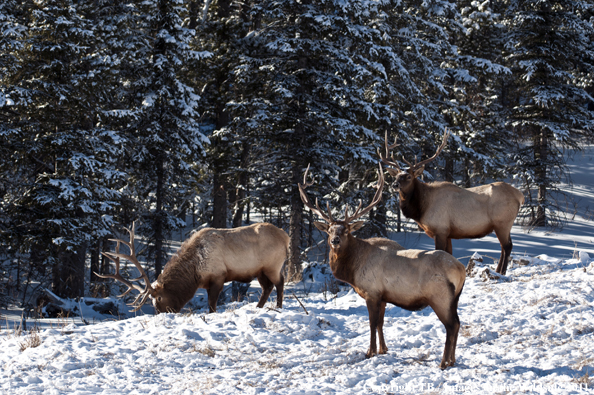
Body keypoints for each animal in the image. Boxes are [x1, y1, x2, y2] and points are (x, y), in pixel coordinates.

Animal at [96, 223, 288, 316]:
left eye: (159, 298)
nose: (161, 314)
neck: (195, 272)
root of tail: (285, 235)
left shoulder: (218, 276)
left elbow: (211, 304)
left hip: (272, 265)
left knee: (280, 282)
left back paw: (279, 306)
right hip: (260, 271)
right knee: (267, 287)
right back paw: (259, 307)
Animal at [298, 163, 464, 368]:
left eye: (346, 230)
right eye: (329, 230)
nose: (335, 240)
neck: (352, 270)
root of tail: (461, 270)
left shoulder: (372, 292)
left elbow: (371, 323)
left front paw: (370, 352)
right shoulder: (383, 296)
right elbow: (380, 323)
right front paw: (384, 349)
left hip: (439, 296)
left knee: (451, 325)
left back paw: (444, 362)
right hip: (454, 298)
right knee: (457, 323)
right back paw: (452, 360)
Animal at [380, 130, 524, 276]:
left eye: (409, 176)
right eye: (396, 176)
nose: (395, 185)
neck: (421, 209)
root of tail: (520, 195)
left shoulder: (440, 230)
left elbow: (439, 252)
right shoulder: (448, 233)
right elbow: (449, 254)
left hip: (503, 223)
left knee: (507, 246)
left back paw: (501, 272)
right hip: (503, 225)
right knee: (505, 247)